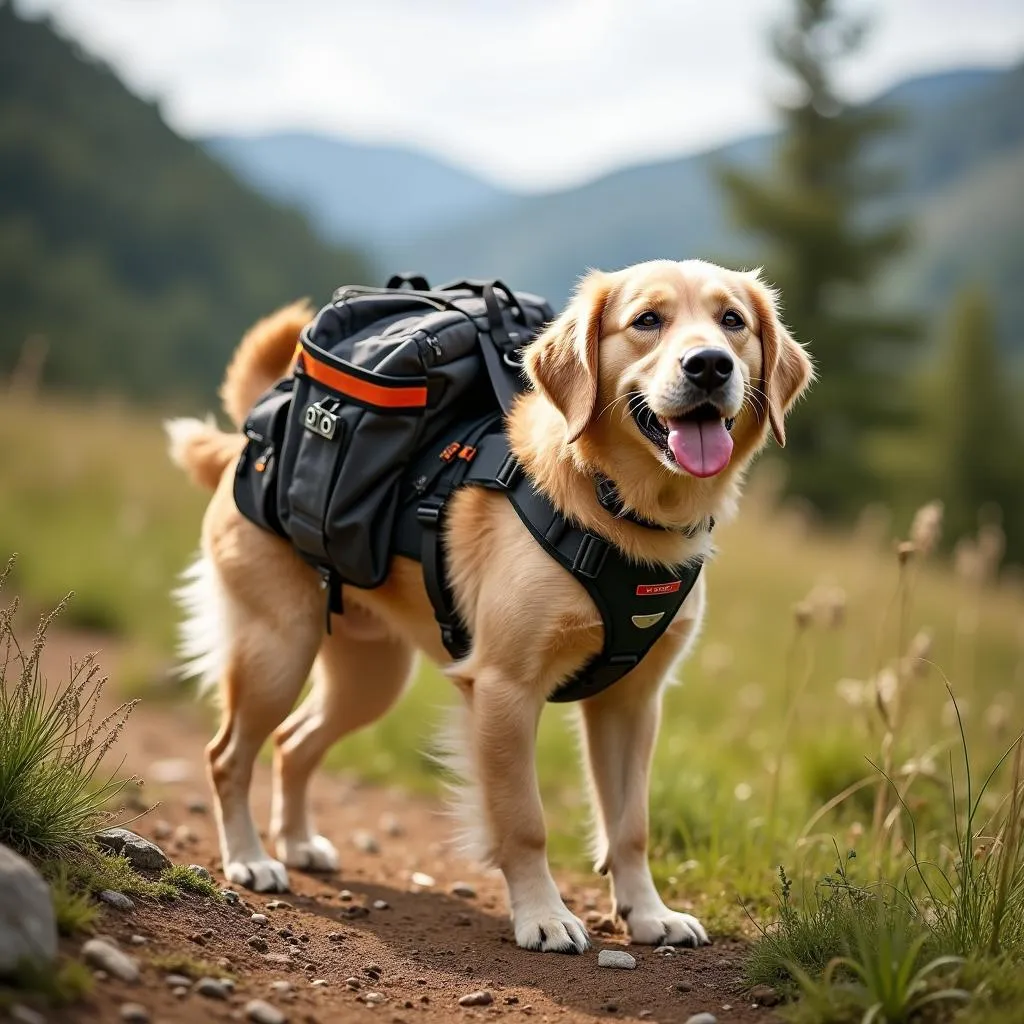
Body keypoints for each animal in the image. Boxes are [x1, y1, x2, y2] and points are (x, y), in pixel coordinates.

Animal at [165, 260, 806, 954]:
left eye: (732, 321)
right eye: (647, 321)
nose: (710, 365)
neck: (619, 510)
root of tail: (252, 442)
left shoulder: (633, 701)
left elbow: (630, 825)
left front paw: (648, 913)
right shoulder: (504, 689)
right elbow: (524, 822)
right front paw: (544, 916)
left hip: (369, 678)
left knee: (293, 742)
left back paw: (299, 842)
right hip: (277, 654)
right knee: (228, 755)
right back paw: (251, 858)